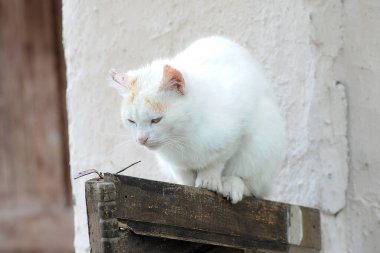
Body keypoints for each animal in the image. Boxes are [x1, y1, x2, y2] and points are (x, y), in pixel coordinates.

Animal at [110, 36, 284, 203]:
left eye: (156, 120)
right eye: (131, 121)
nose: (142, 139)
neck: (183, 136)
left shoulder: (238, 130)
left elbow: (217, 161)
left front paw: (209, 180)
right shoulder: (175, 164)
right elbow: (183, 174)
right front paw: (190, 186)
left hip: (263, 144)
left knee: (252, 186)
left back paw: (232, 185)